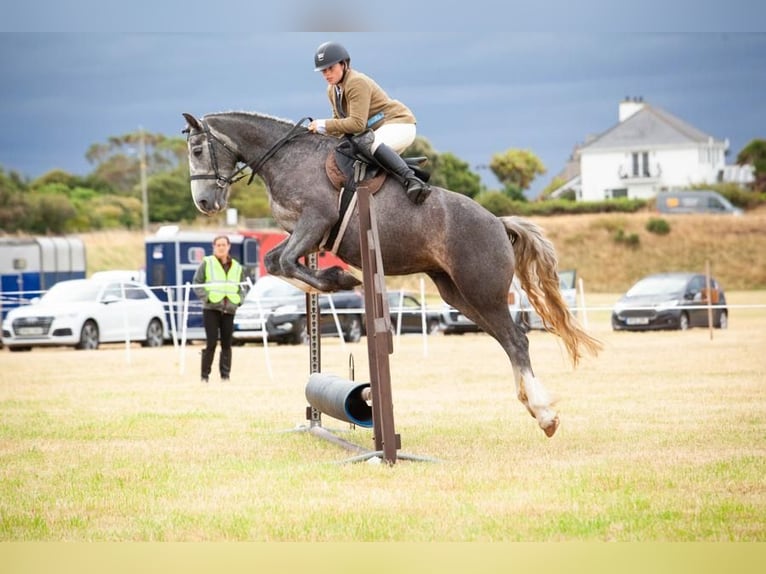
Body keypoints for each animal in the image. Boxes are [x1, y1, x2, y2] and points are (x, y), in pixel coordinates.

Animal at [182, 111, 601, 437]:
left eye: (198, 150)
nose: (204, 203)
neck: (286, 158)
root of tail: (498, 222)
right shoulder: (303, 233)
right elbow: (276, 263)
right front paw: (332, 283)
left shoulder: (315, 221)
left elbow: (283, 263)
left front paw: (341, 280)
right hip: (458, 294)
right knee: (507, 340)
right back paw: (533, 406)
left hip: (481, 291)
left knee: (516, 340)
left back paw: (545, 415)